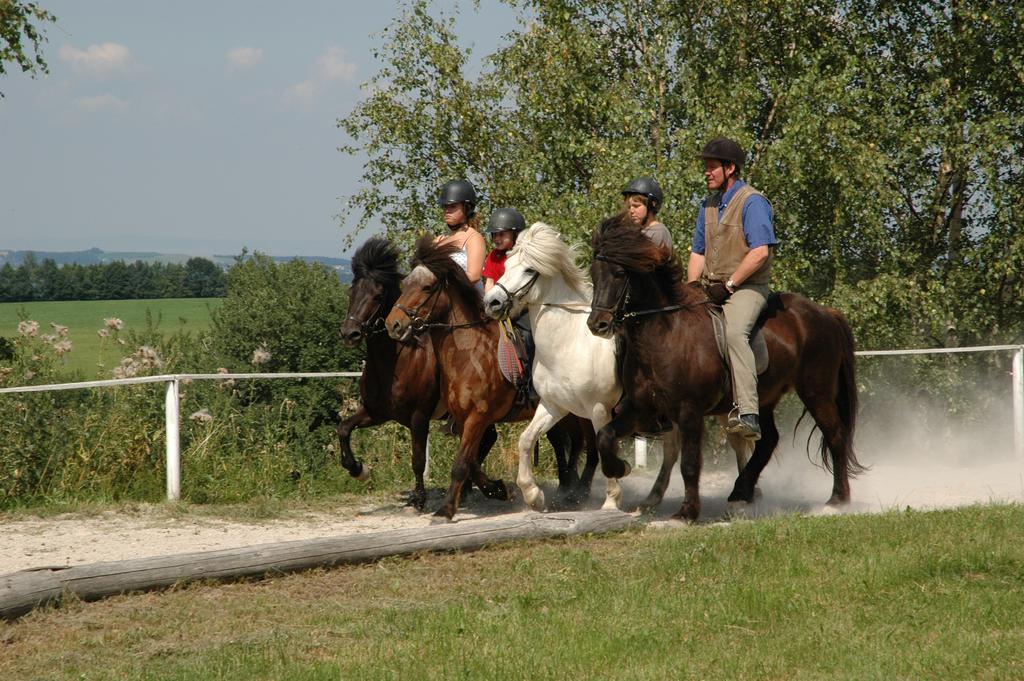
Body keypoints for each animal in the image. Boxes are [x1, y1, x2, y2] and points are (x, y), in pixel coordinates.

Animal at [385, 236, 598, 518]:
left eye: (427, 286)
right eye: (406, 283)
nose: (393, 325)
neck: (468, 351)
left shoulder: (478, 417)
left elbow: (461, 463)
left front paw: (446, 509)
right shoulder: (464, 419)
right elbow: (472, 462)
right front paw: (498, 489)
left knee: (591, 447)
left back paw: (580, 491)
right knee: (574, 443)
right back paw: (568, 489)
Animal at [479, 225, 753, 512]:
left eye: (529, 270)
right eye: (507, 265)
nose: (492, 302)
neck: (568, 343)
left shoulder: (599, 409)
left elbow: (603, 446)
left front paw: (612, 498)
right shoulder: (554, 406)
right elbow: (526, 440)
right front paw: (533, 495)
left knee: (738, 443)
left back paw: (742, 496)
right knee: (678, 449)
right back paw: (654, 499)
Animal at [585, 215, 864, 518]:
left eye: (619, 274)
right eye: (593, 274)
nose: (597, 325)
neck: (665, 333)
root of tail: (825, 312)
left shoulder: (689, 411)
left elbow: (689, 464)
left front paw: (686, 513)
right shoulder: (641, 408)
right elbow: (604, 436)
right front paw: (620, 468)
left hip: (816, 392)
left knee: (835, 435)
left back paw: (837, 500)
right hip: (762, 397)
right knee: (768, 441)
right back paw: (741, 494)